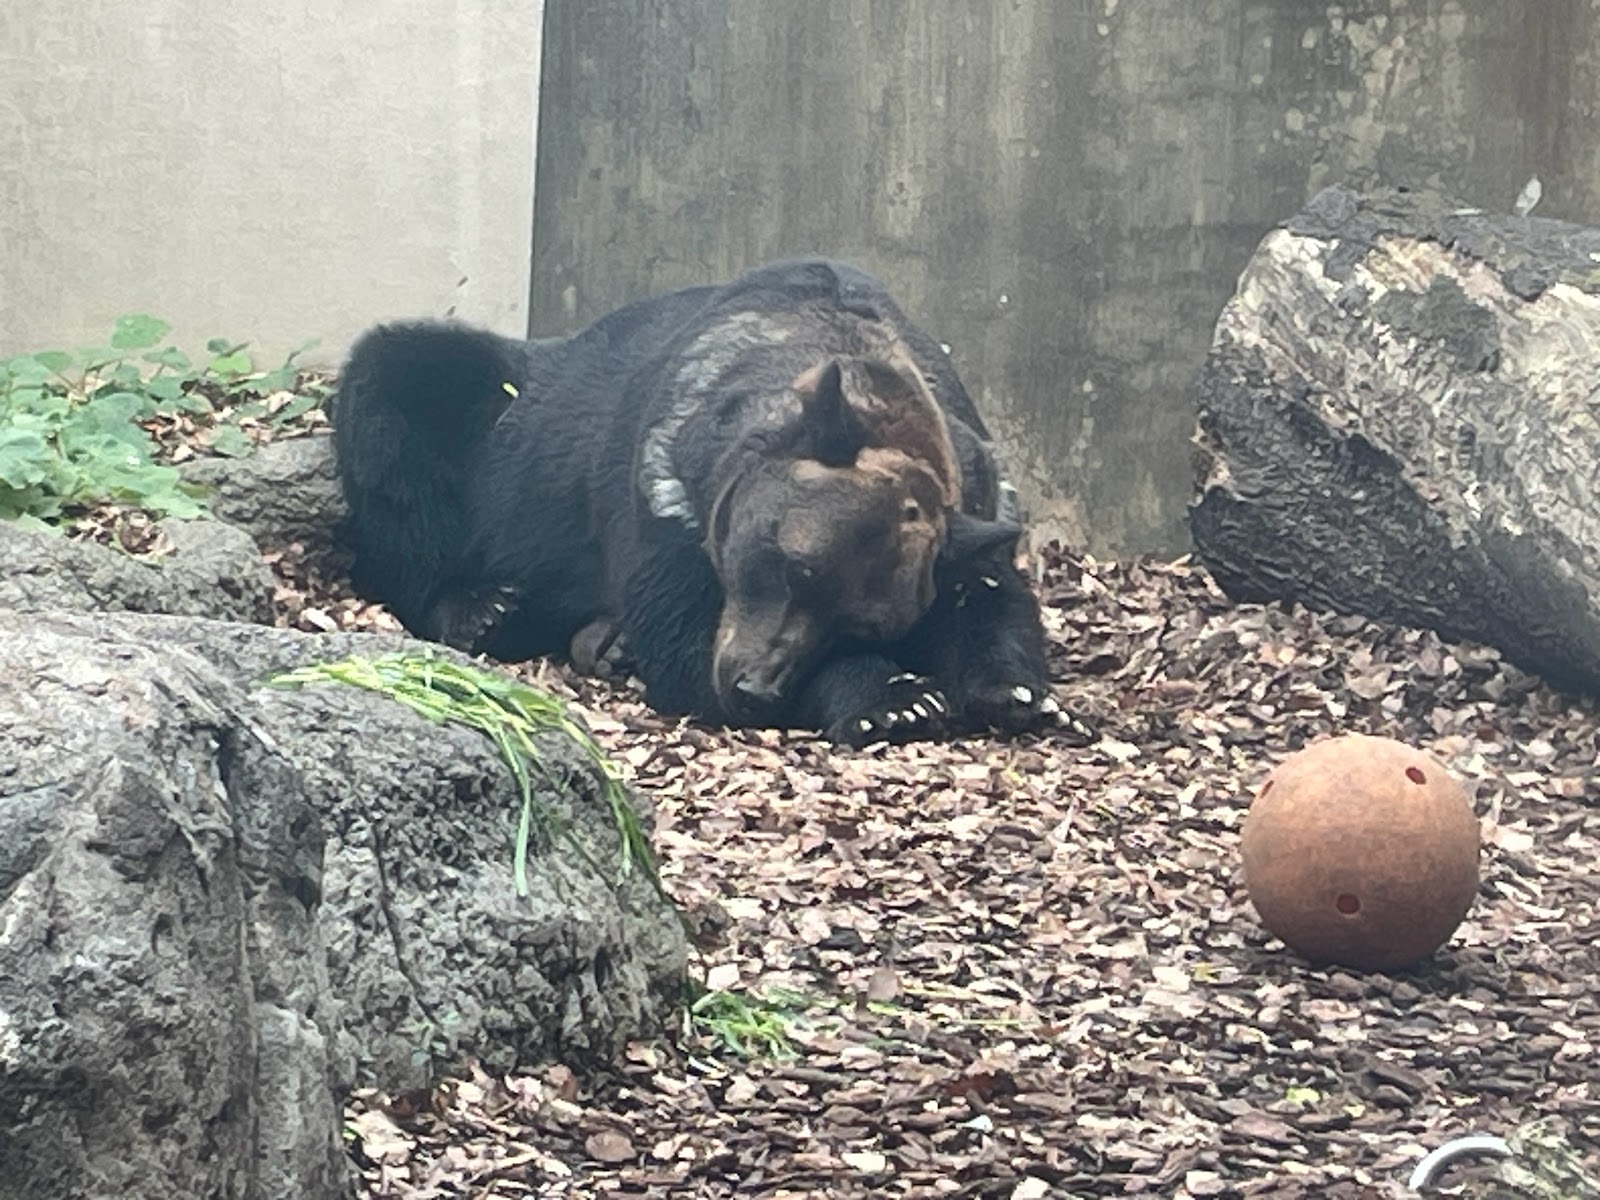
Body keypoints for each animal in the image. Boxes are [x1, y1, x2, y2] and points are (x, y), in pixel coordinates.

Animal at [329, 259, 1062, 748]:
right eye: (793, 564)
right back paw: (484, 608)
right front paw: (896, 699)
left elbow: (987, 591)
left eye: (865, 621)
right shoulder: (664, 488)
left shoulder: (974, 489)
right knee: (399, 400)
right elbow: (680, 635)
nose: (752, 685)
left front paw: (1019, 692)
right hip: (493, 431)